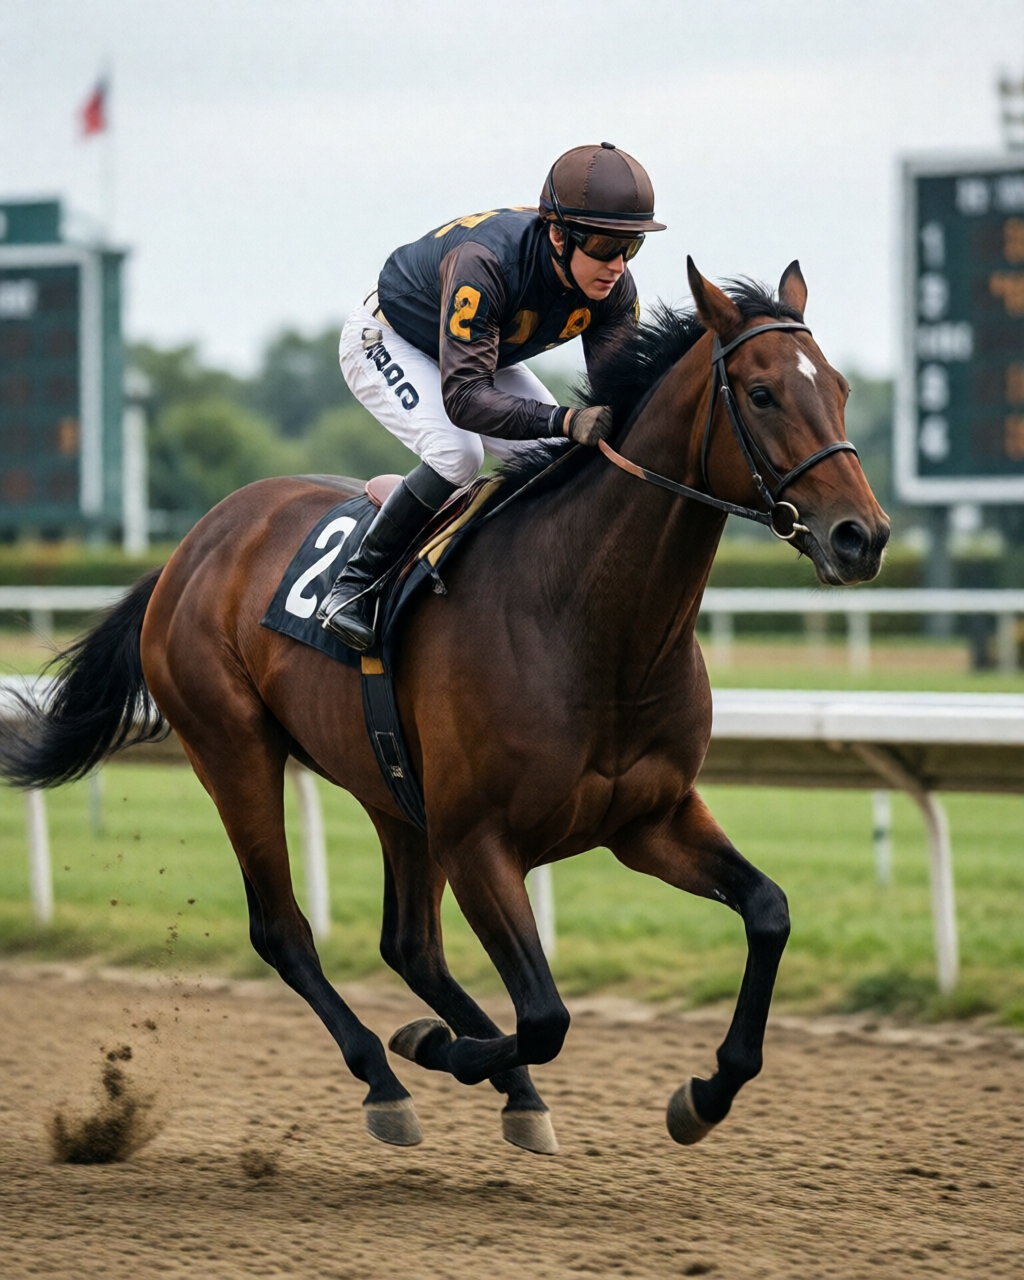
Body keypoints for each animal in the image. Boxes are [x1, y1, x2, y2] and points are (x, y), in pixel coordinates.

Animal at [1, 259, 889, 1156]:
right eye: (762, 392)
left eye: (841, 388)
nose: (863, 536)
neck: (589, 624)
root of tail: (189, 550)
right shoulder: (477, 841)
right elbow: (545, 1015)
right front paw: (439, 1049)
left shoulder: (649, 819)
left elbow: (768, 912)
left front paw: (704, 1093)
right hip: (233, 749)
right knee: (285, 931)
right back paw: (389, 1077)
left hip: (390, 784)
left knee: (410, 946)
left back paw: (506, 1089)